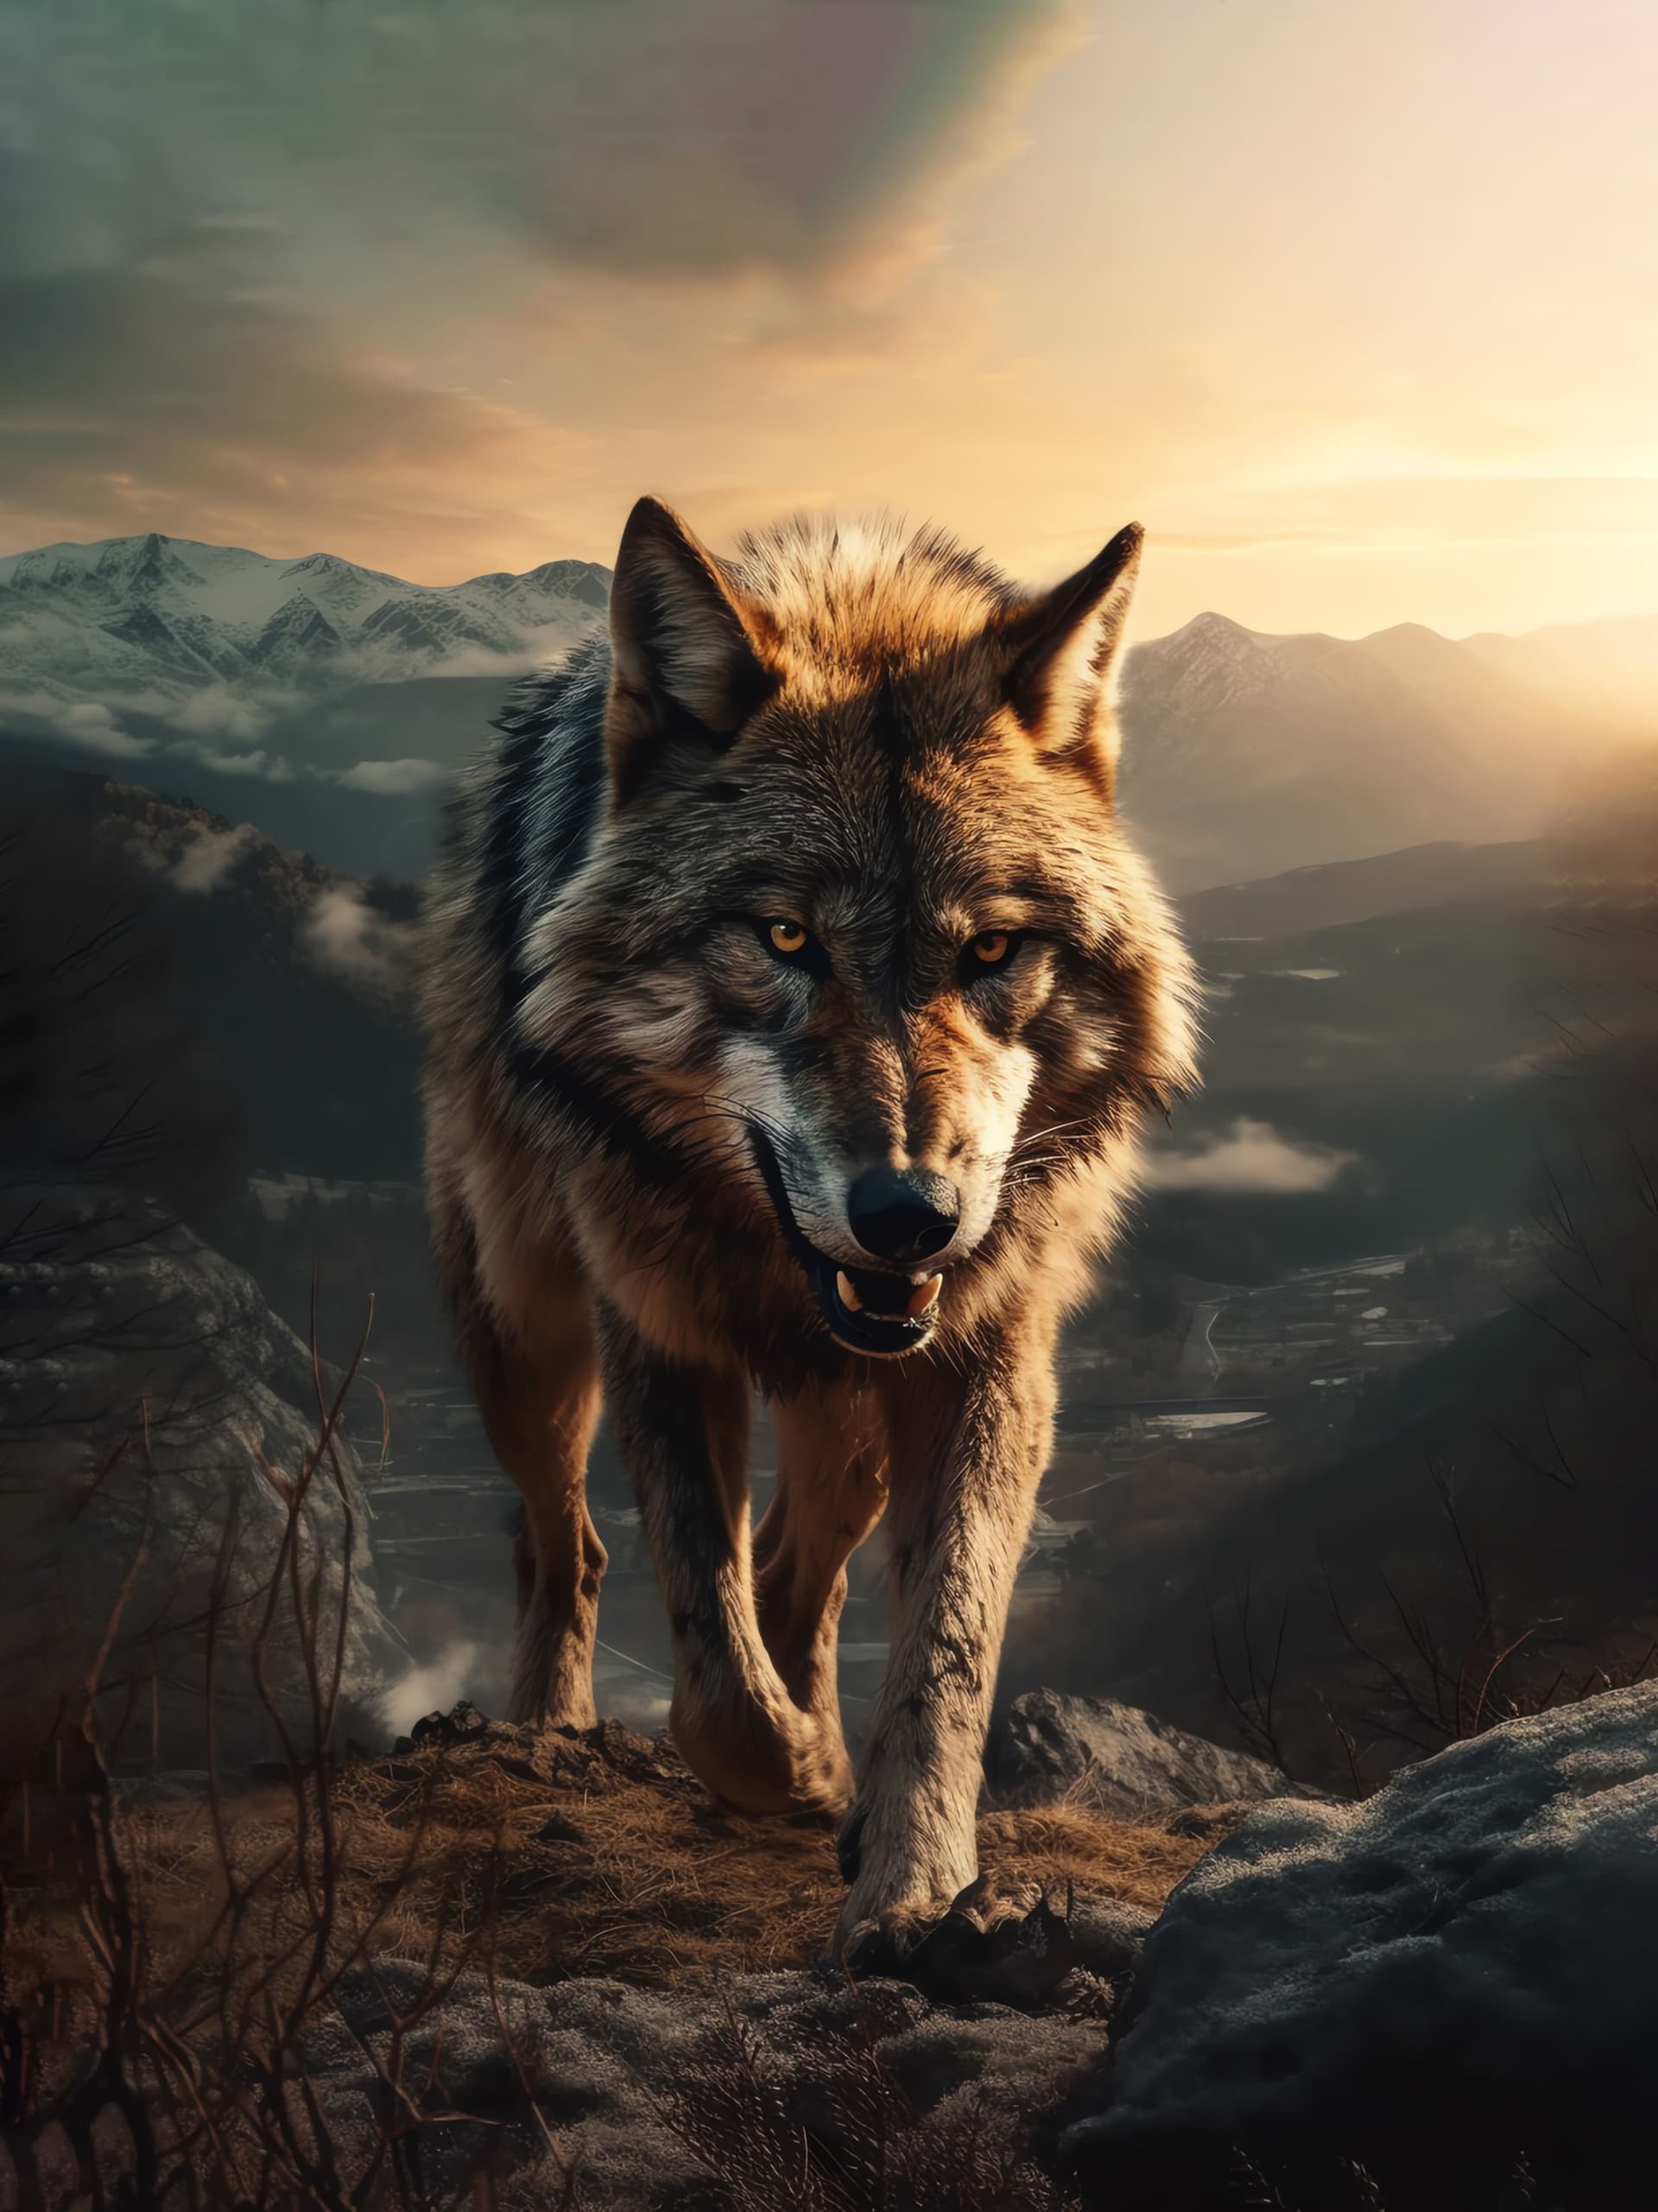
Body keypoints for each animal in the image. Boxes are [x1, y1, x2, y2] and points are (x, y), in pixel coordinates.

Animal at [419, 497, 1198, 1958]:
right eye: (785, 937)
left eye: (991, 951)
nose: (911, 1218)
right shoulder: (661, 1335)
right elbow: (714, 1681)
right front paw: (793, 1774)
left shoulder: (990, 1358)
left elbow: (946, 1652)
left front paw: (913, 1882)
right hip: (523, 1333)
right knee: (567, 1538)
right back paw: (553, 1724)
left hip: (852, 1421)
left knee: (794, 1569)